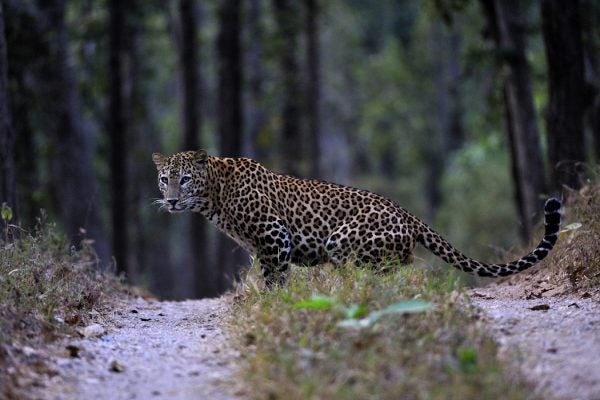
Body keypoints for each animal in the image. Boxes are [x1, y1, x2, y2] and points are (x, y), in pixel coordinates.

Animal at [151, 150, 564, 288]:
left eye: (184, 179)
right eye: (164, 178)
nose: (170, 201)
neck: (214, 196)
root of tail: (407, 214)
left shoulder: (275, 235)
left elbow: (276, 277)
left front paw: (274, 302)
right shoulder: (261, 246)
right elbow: (269, 273)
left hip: (342, 241)